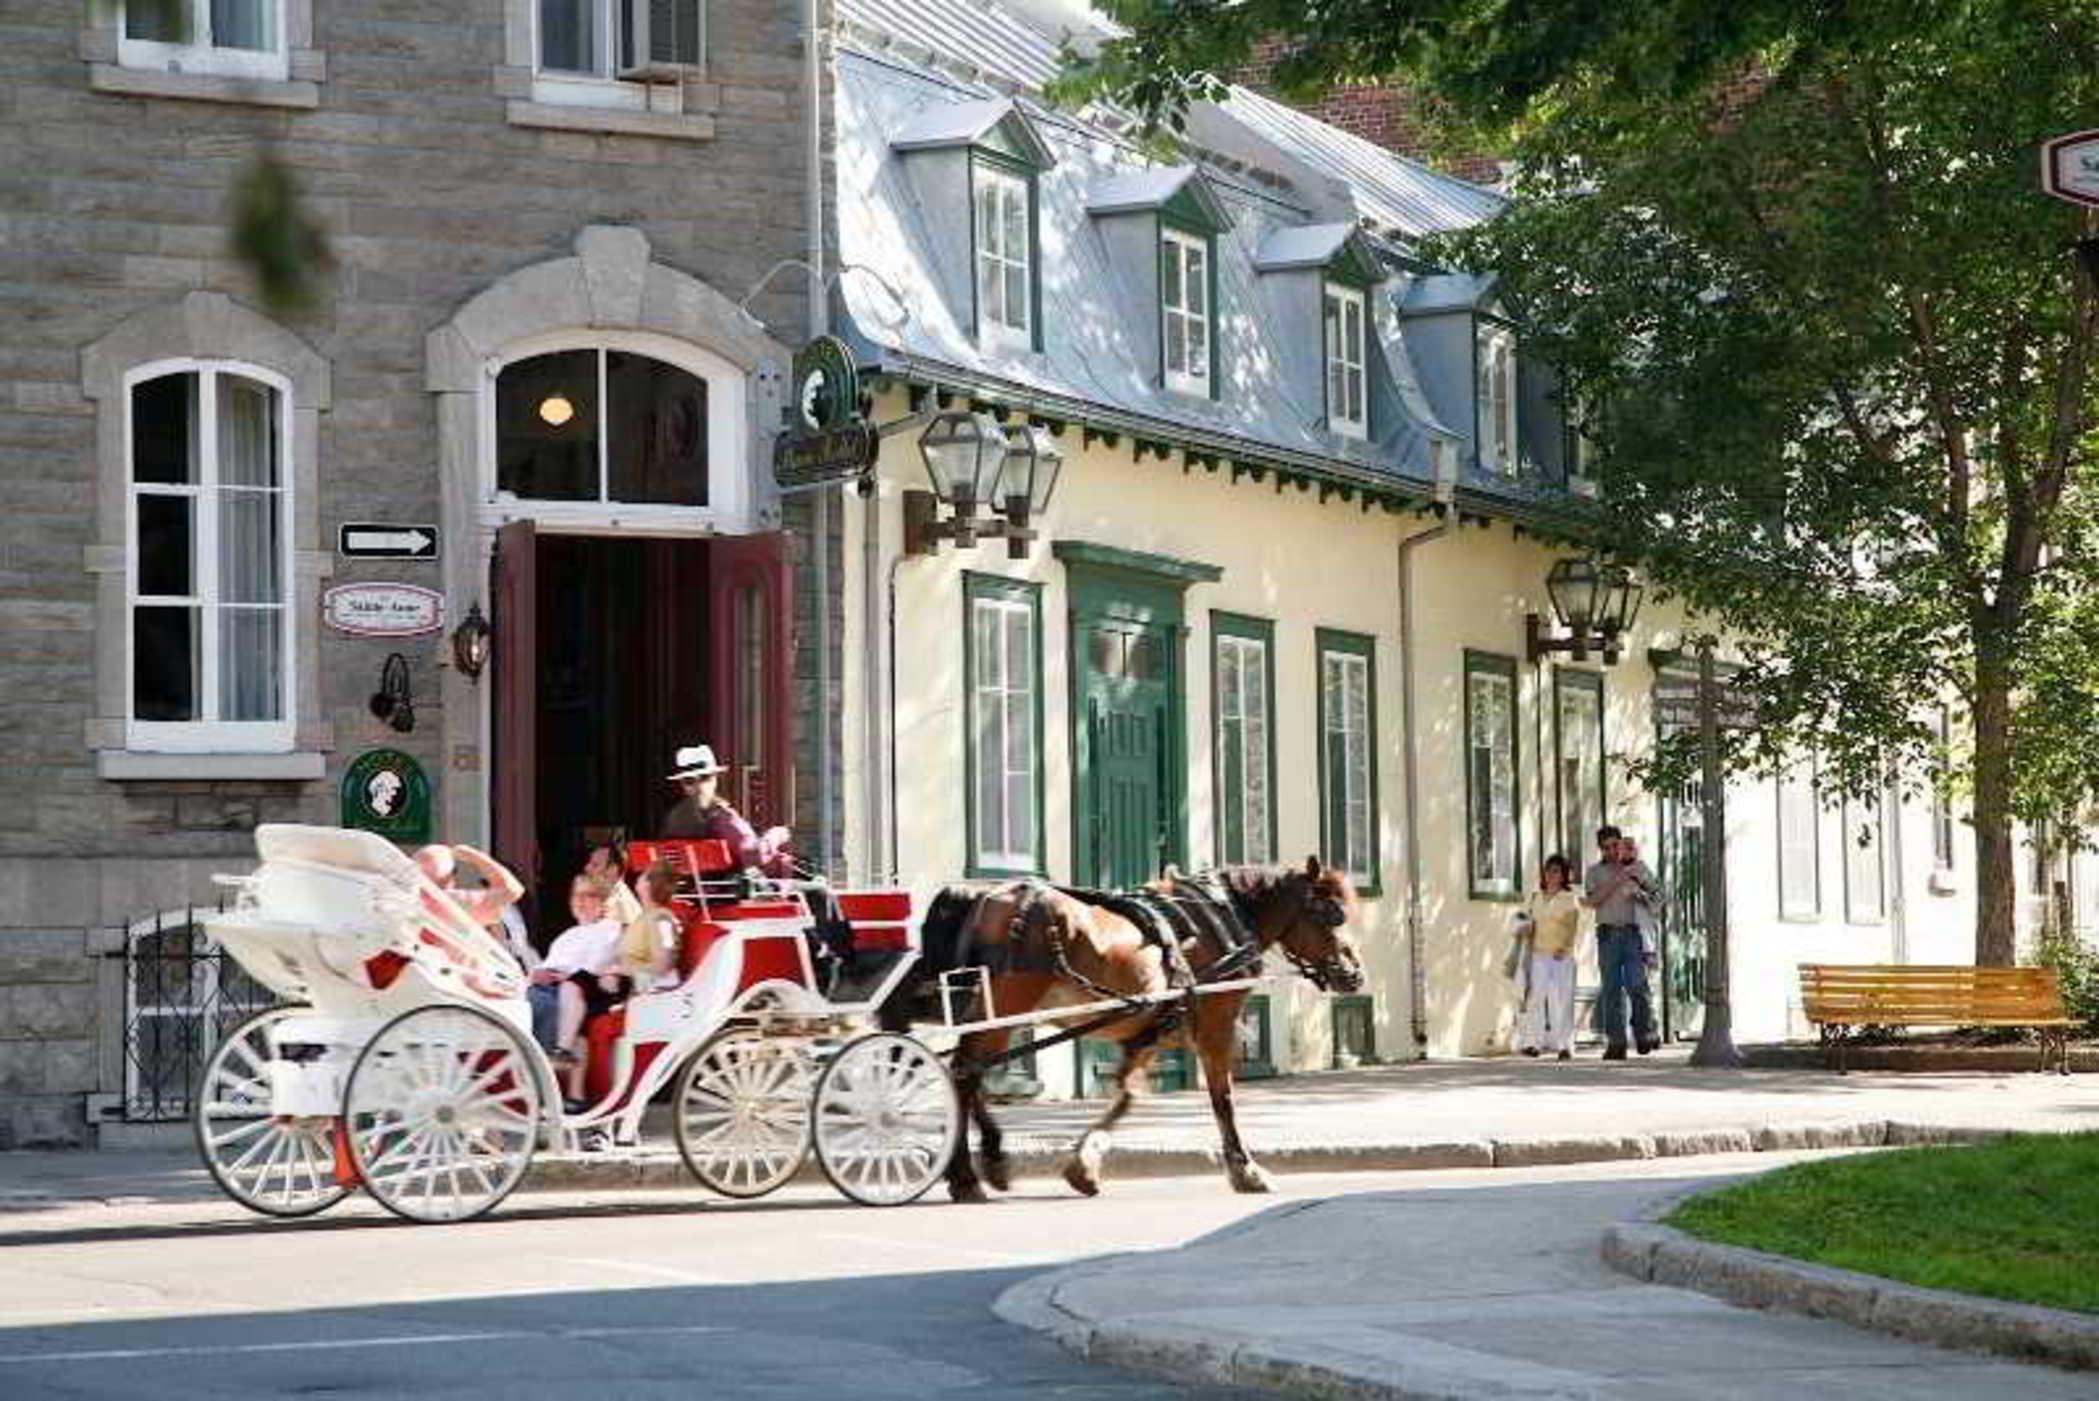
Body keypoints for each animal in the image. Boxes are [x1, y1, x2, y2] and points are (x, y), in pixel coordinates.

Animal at [881, 856, 1360, 1209]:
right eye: (1329, 915)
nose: (1354, 972)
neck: (1220, 923)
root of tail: (984, 898)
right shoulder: (1215, 1025)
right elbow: (1223, 1100)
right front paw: (1247, 1170)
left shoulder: (1153, 1029)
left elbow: (1127, 1094)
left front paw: (1085, 1165)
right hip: (1006, 1008)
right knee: (966, 1073)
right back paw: (971, 1173)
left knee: (966, 1075)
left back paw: (982, 1166)